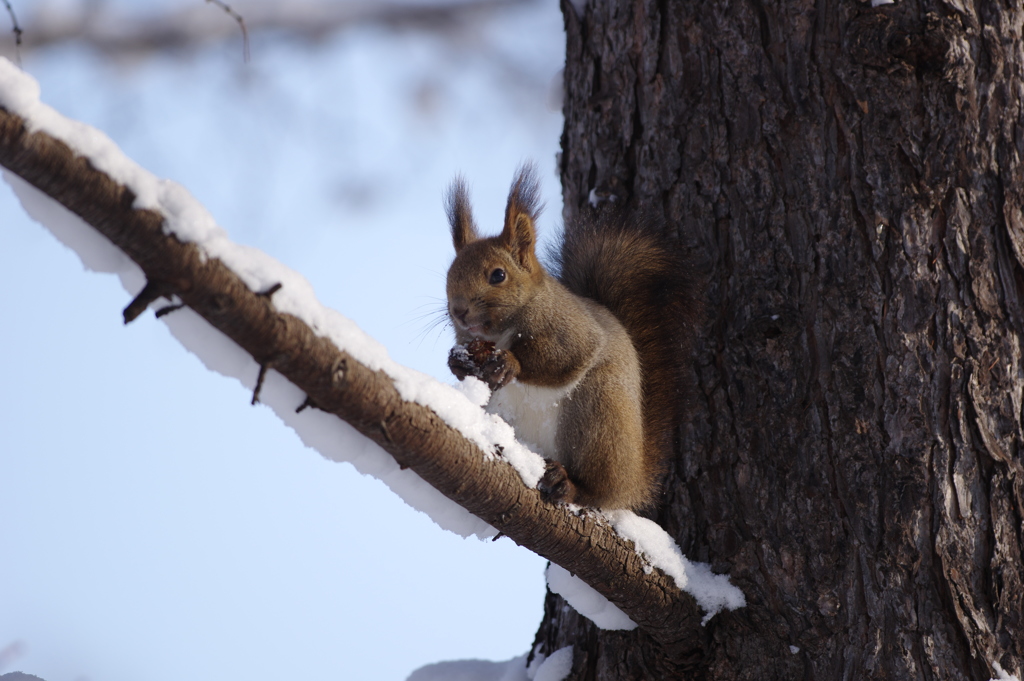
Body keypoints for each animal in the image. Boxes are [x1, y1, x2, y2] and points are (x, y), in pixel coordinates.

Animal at [444, 166, 700, 512]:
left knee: (600, 490)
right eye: (449, 275)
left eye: (498, 275)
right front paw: (458, 362)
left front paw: (510, 363)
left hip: (598, 417)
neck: (500, 334)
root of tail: (634, 481)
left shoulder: (573, 330)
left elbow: (566, 358)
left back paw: (570, 484)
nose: (459, 311)